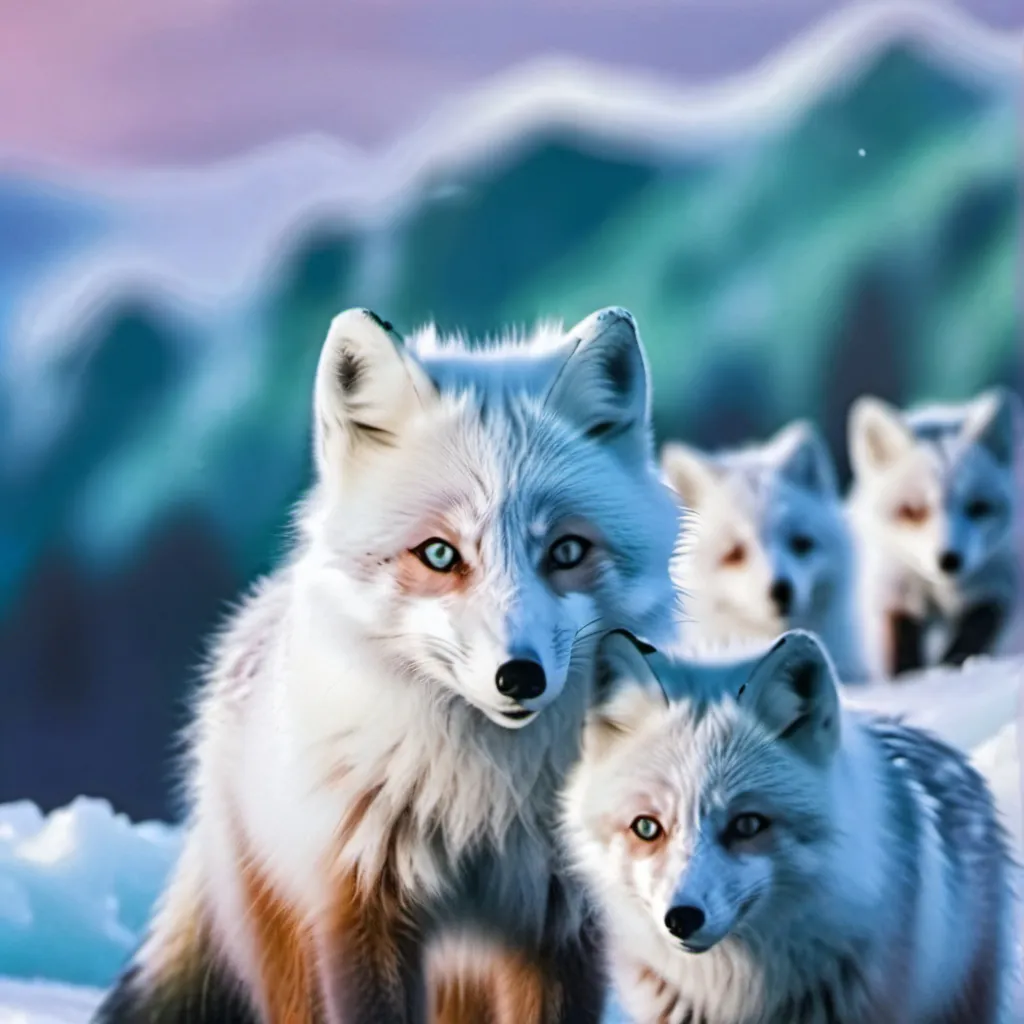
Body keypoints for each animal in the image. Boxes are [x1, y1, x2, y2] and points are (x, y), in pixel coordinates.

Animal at [92, 306, 683, 1024]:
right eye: (439, 554)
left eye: (567, 551)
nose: (520, 677)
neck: (480, 803)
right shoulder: (359, 913)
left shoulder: (558, 924)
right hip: (289, 940)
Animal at [846, 387, 1023, 678]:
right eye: (912, 511)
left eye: (978, 508)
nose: (949, 559)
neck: (943, 591)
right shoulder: (895, 592)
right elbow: (902, 659)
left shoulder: (996, 587)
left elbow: (969, 639)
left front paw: (952, 668)